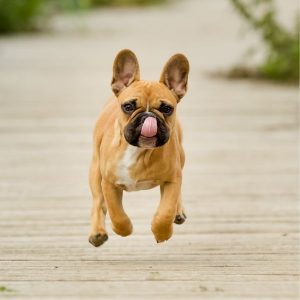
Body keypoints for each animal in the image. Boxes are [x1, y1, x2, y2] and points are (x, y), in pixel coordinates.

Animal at [88, 49, 190, 246]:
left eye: (167, 109)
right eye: (128, 106)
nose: (148, 117)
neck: (139, 151)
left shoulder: (172, 179)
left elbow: (165, 211)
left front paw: (162, 232)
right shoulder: (109, 183)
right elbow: (116, 212)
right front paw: (123, 229)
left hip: (181, 160)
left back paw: (178, 211)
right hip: (95, 172)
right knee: (98, 202)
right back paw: (97, 233)